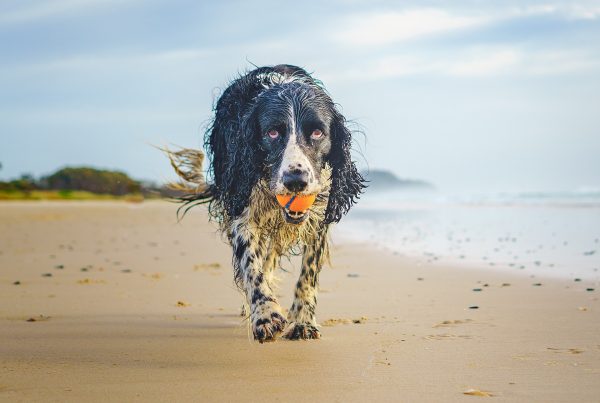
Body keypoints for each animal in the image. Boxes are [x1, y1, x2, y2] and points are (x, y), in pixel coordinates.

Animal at [168, 64, 366, 342]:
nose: (296, 180)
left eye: (317, 132)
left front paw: (303, 321)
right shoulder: (242, 209)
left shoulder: (318, 217)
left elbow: (308, 274)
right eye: (272, 132)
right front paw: (265, 314)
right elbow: (251, 263)